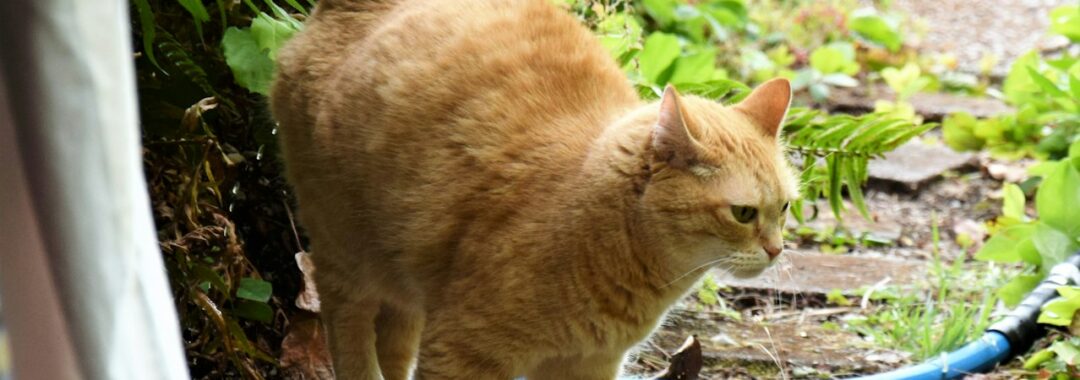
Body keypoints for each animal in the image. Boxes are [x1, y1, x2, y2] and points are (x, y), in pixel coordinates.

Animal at [267, 0, 794, 377]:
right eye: (744, 213)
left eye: (785, 207)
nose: (776, 250)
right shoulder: (462, 351)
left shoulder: (587, 365)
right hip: (344, 252)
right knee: (349, 329)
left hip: (404, 274)